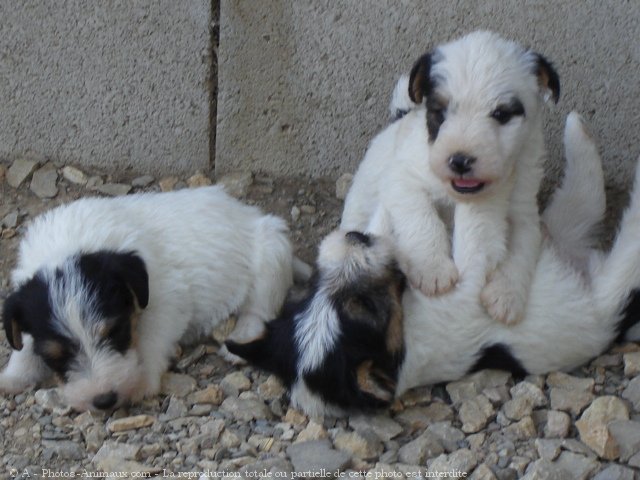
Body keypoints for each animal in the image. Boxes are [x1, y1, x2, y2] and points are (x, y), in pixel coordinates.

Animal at [0, 186, 296, 410]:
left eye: (115, 332)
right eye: (55, 355)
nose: (104, 401)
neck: (70, 246)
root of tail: (249, 212)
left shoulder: (165, 301)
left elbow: (152, 339)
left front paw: (142, 383)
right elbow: (25, 346)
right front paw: (13, 376)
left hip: (272, 254)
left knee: (258, 309)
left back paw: (241, 337)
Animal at [228, 113, 640, 416]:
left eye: (311, 289)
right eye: (368, 307)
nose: (355, 238)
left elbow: (388, 213)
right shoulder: (467, 283)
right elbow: (473, 236)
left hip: (558, 230)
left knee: (583, 195)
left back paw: (577, 130)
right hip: (609, 290)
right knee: (624, 231)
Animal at [340, 31, 560, 326]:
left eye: (501, 114)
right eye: (440, 112)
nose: (460, 161)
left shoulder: (523, 211)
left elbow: (521, 249)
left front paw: (506, 296)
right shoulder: (402, 179)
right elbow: (421, 218)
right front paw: (433, 269)